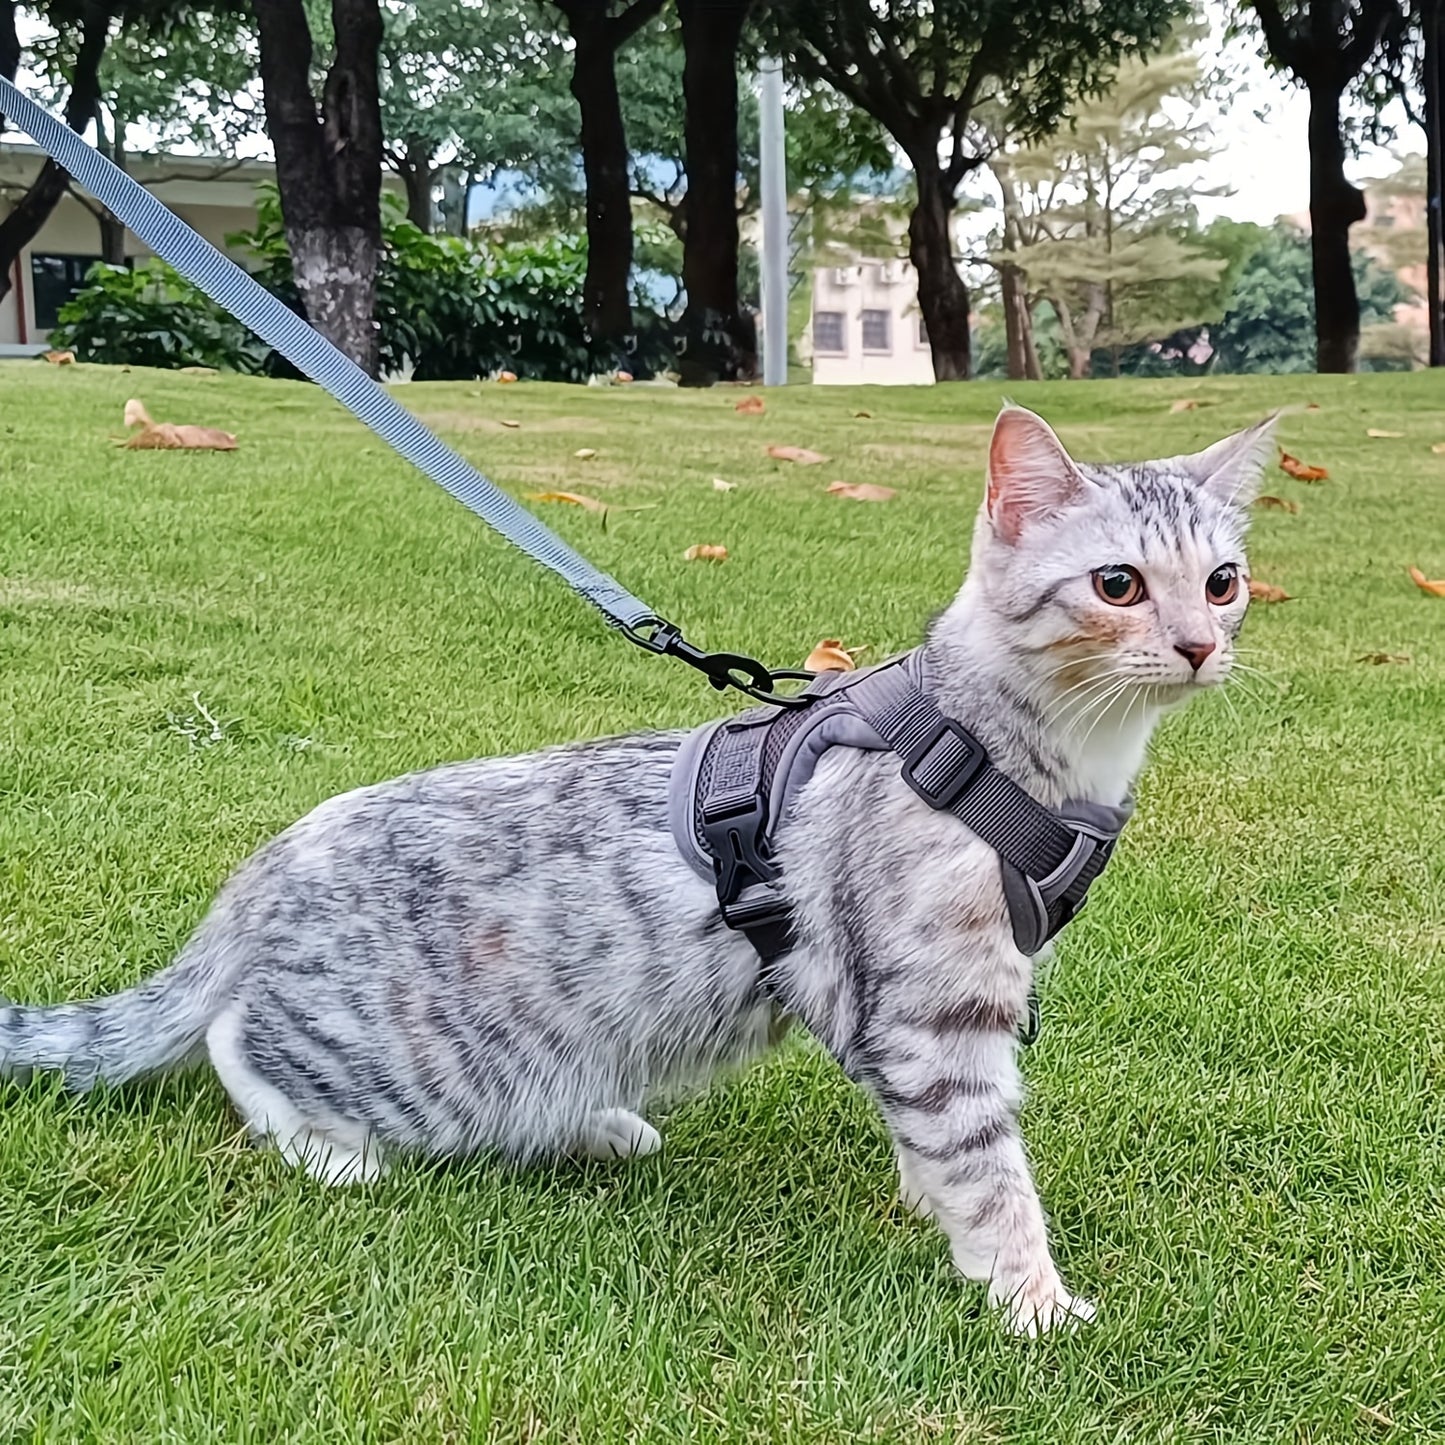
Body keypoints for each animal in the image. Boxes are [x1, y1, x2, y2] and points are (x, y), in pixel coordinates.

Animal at [0, 404, 1271, 1329]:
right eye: (1114, 584)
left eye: (1221, 581)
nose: (1197, 646)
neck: (1002, 749)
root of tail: (260, 874)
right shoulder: (932, 1008)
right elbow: (985, 1162)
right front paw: (1030, 1297)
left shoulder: (920, 1015)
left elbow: (935, 1142)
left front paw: (936, 1213)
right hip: (405, 1062)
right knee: (241, 1047)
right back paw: (337, 1150)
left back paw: (601, 1127)